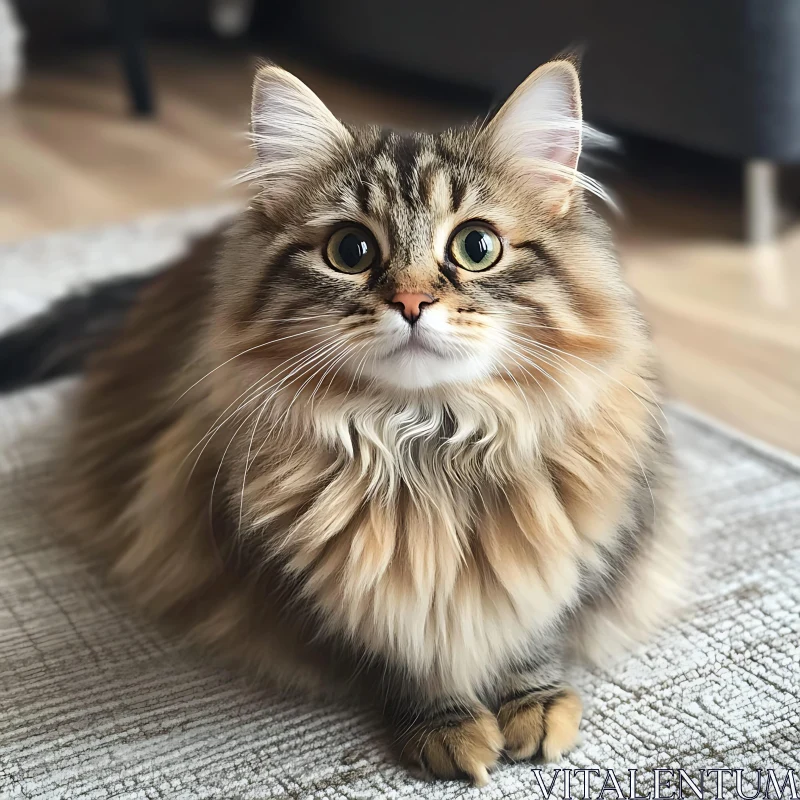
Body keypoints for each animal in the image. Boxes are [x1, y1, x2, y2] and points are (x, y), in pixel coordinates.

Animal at [3, 59, 684, 784]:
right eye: (351, 250)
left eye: (476, 246)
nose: (412, 302)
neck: (426, 441)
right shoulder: (315, 594)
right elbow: (403, 652)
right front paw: (446, 724)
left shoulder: (581, 548)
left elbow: (536, 627)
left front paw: (536, 703)